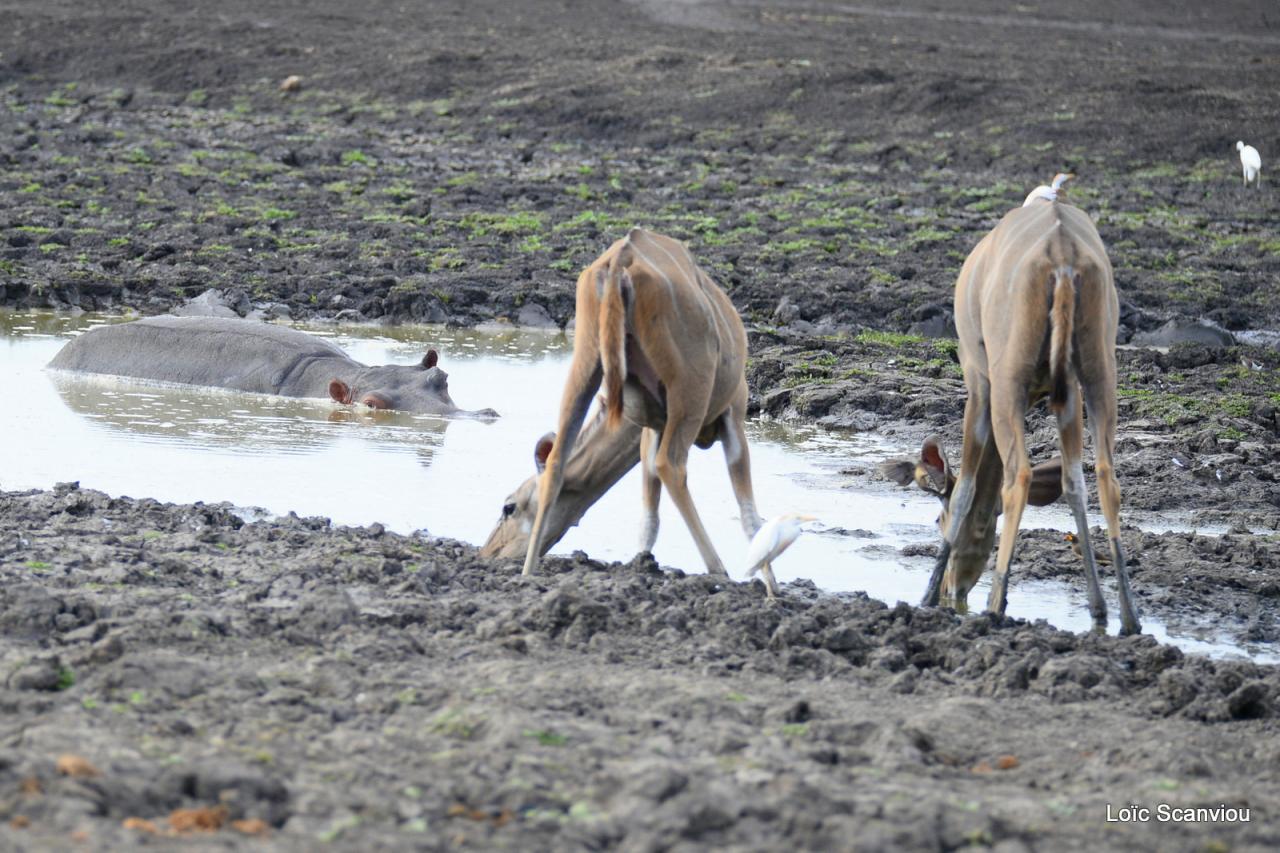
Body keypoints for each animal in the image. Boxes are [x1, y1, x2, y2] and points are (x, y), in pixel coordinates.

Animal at [481, 229, 757, 578]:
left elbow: (649, 517)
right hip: (689, 393)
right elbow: (749, 514)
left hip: (587, 365)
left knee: (558, 461)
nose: (488, 553)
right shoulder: (732, 413)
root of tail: (618, 263)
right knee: (671, 465)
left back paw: (528, 574)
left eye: (509, 507)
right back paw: (718, 569)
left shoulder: (652, 427)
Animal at [901, 194, 1141, 630]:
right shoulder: (1066, 393)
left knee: (1019, 476)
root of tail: (1062, 258)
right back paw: (1127, 616)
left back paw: (995, 603)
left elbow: (966, 488)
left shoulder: (979, 383)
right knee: (1105, 476)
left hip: (1006, 379)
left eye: (937, 519)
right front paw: (1097, 605)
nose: (954, 589)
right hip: (1099, 371)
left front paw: (926, 597)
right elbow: (1071, 481)